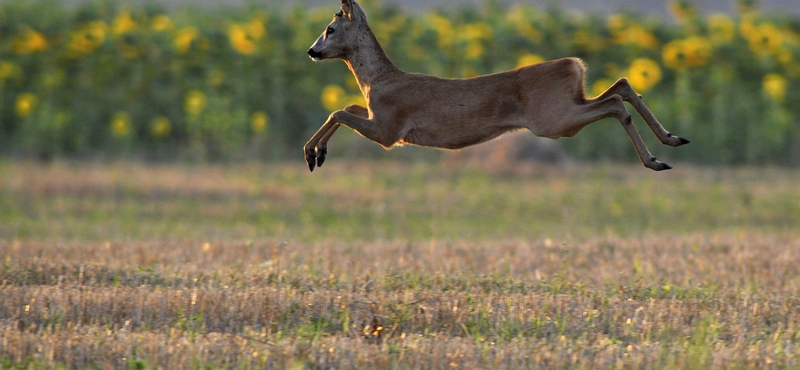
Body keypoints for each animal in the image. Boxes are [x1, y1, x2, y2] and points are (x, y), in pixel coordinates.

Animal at [304, 0, 692, 173]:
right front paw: (316, 153)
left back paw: (655, 159)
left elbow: (337, 110)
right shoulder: (378, 118)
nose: (311, 51)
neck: (378, 82)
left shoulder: (389, 130)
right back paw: (671, 140)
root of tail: (574, 64)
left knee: (614, 104)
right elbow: (346, 107)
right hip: (569, 103)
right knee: (623, 86)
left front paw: (312, 153)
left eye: (330, 29)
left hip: (552, 119)